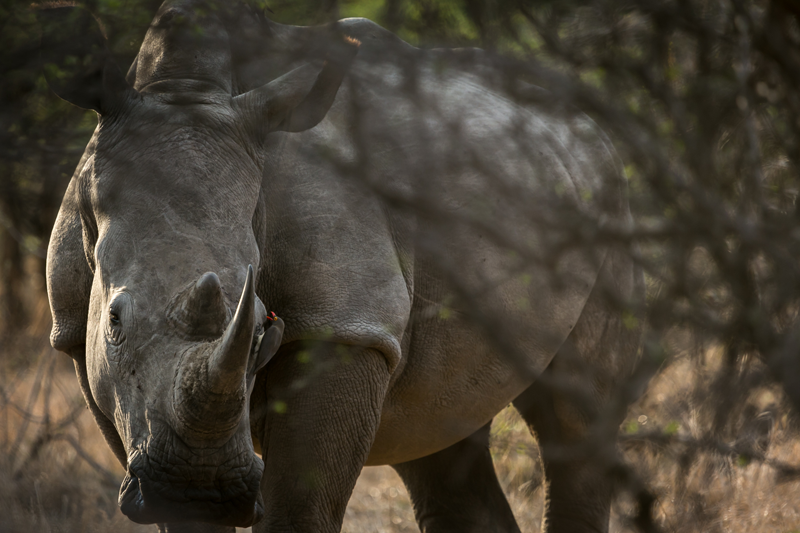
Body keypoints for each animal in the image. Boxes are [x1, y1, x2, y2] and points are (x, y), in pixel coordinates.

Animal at [41, 1, 644, 532]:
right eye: (114, 322)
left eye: (263, 326)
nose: (202, 490)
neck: (185, 87)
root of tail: (595, 131)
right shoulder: (78, 338)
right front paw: (190, 510)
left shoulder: (347, 324)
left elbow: (297, 515)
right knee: (436, 429)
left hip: (608, 202)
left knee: (576, 419)